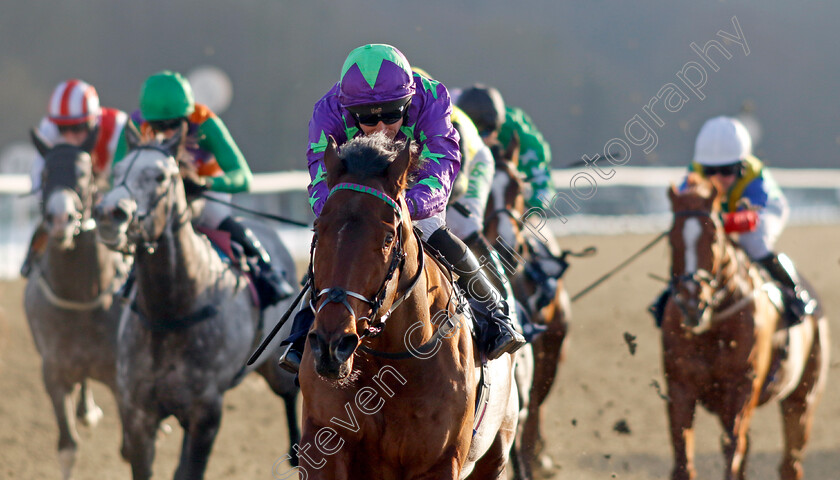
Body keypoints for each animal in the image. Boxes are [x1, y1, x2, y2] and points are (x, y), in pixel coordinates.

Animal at [668, 176, 832, 480]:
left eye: (714, 237)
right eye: (671, 238)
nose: (692, 300)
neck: (713, 328)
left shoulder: (742, 387)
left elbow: (733, 450)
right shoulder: (679, 386)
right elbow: (684, 458)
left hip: (803, 397)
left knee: (790, 462)